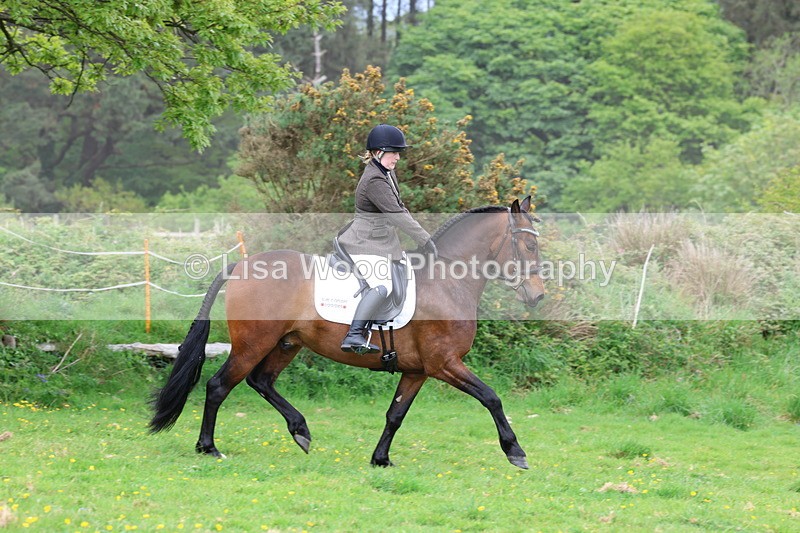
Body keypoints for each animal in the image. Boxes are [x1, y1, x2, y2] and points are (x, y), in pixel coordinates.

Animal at [149, 197, 544, 469]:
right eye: (529, 246)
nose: (538, 296)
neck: (447, 280)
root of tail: (241, 266)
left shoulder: (418, 370)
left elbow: (395, 415)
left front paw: (380, 459)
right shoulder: (444, 364)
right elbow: (492, 398)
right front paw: (516, 452)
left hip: (285, 344)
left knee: (261, 381)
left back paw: (300, 431)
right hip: (252, 344)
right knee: (219, 385)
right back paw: (209, 447)